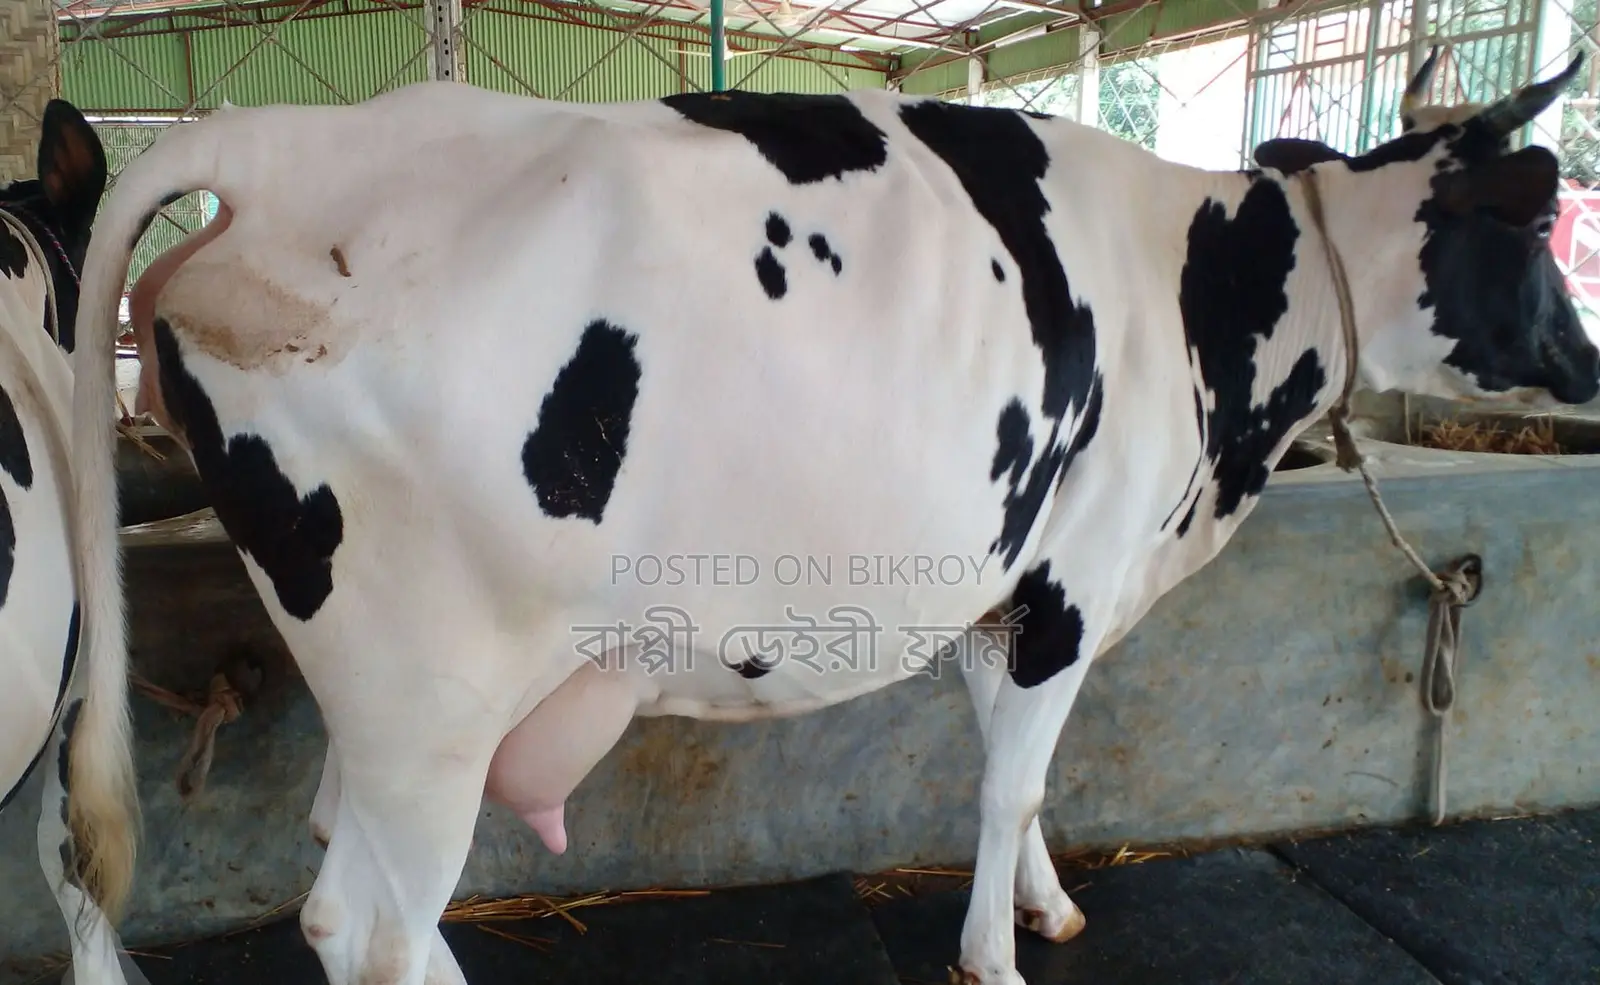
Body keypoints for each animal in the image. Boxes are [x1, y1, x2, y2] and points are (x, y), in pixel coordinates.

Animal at [69, 48, 1596, 985]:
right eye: (1536, 224)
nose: (1586, 366)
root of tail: (282, 149)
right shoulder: (1075, 576)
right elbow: (1014, 778)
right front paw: (995, 951)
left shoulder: (1006, 584)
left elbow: (1010, 767)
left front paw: (1044, 902)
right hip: (426, 692)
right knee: (363, 921)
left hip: (373, 689)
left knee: (350, 870)